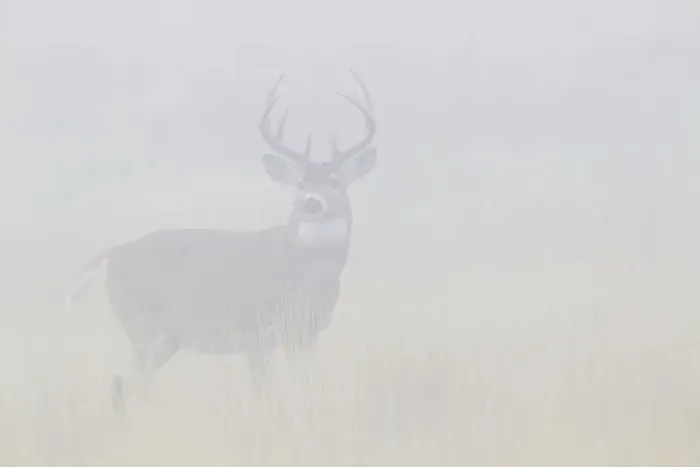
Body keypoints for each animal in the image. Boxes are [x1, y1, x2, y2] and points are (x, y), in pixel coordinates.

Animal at [64, 70, 378, 417]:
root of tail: (114, 253)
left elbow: (306, 386)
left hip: (165, 338)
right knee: (129, 383)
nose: (311, 202)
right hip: (141, 326)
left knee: (125, 383)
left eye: (335, 182)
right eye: (300, 183)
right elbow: (263, 393)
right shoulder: (253, 330)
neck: (302, 277)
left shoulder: (306, 334)